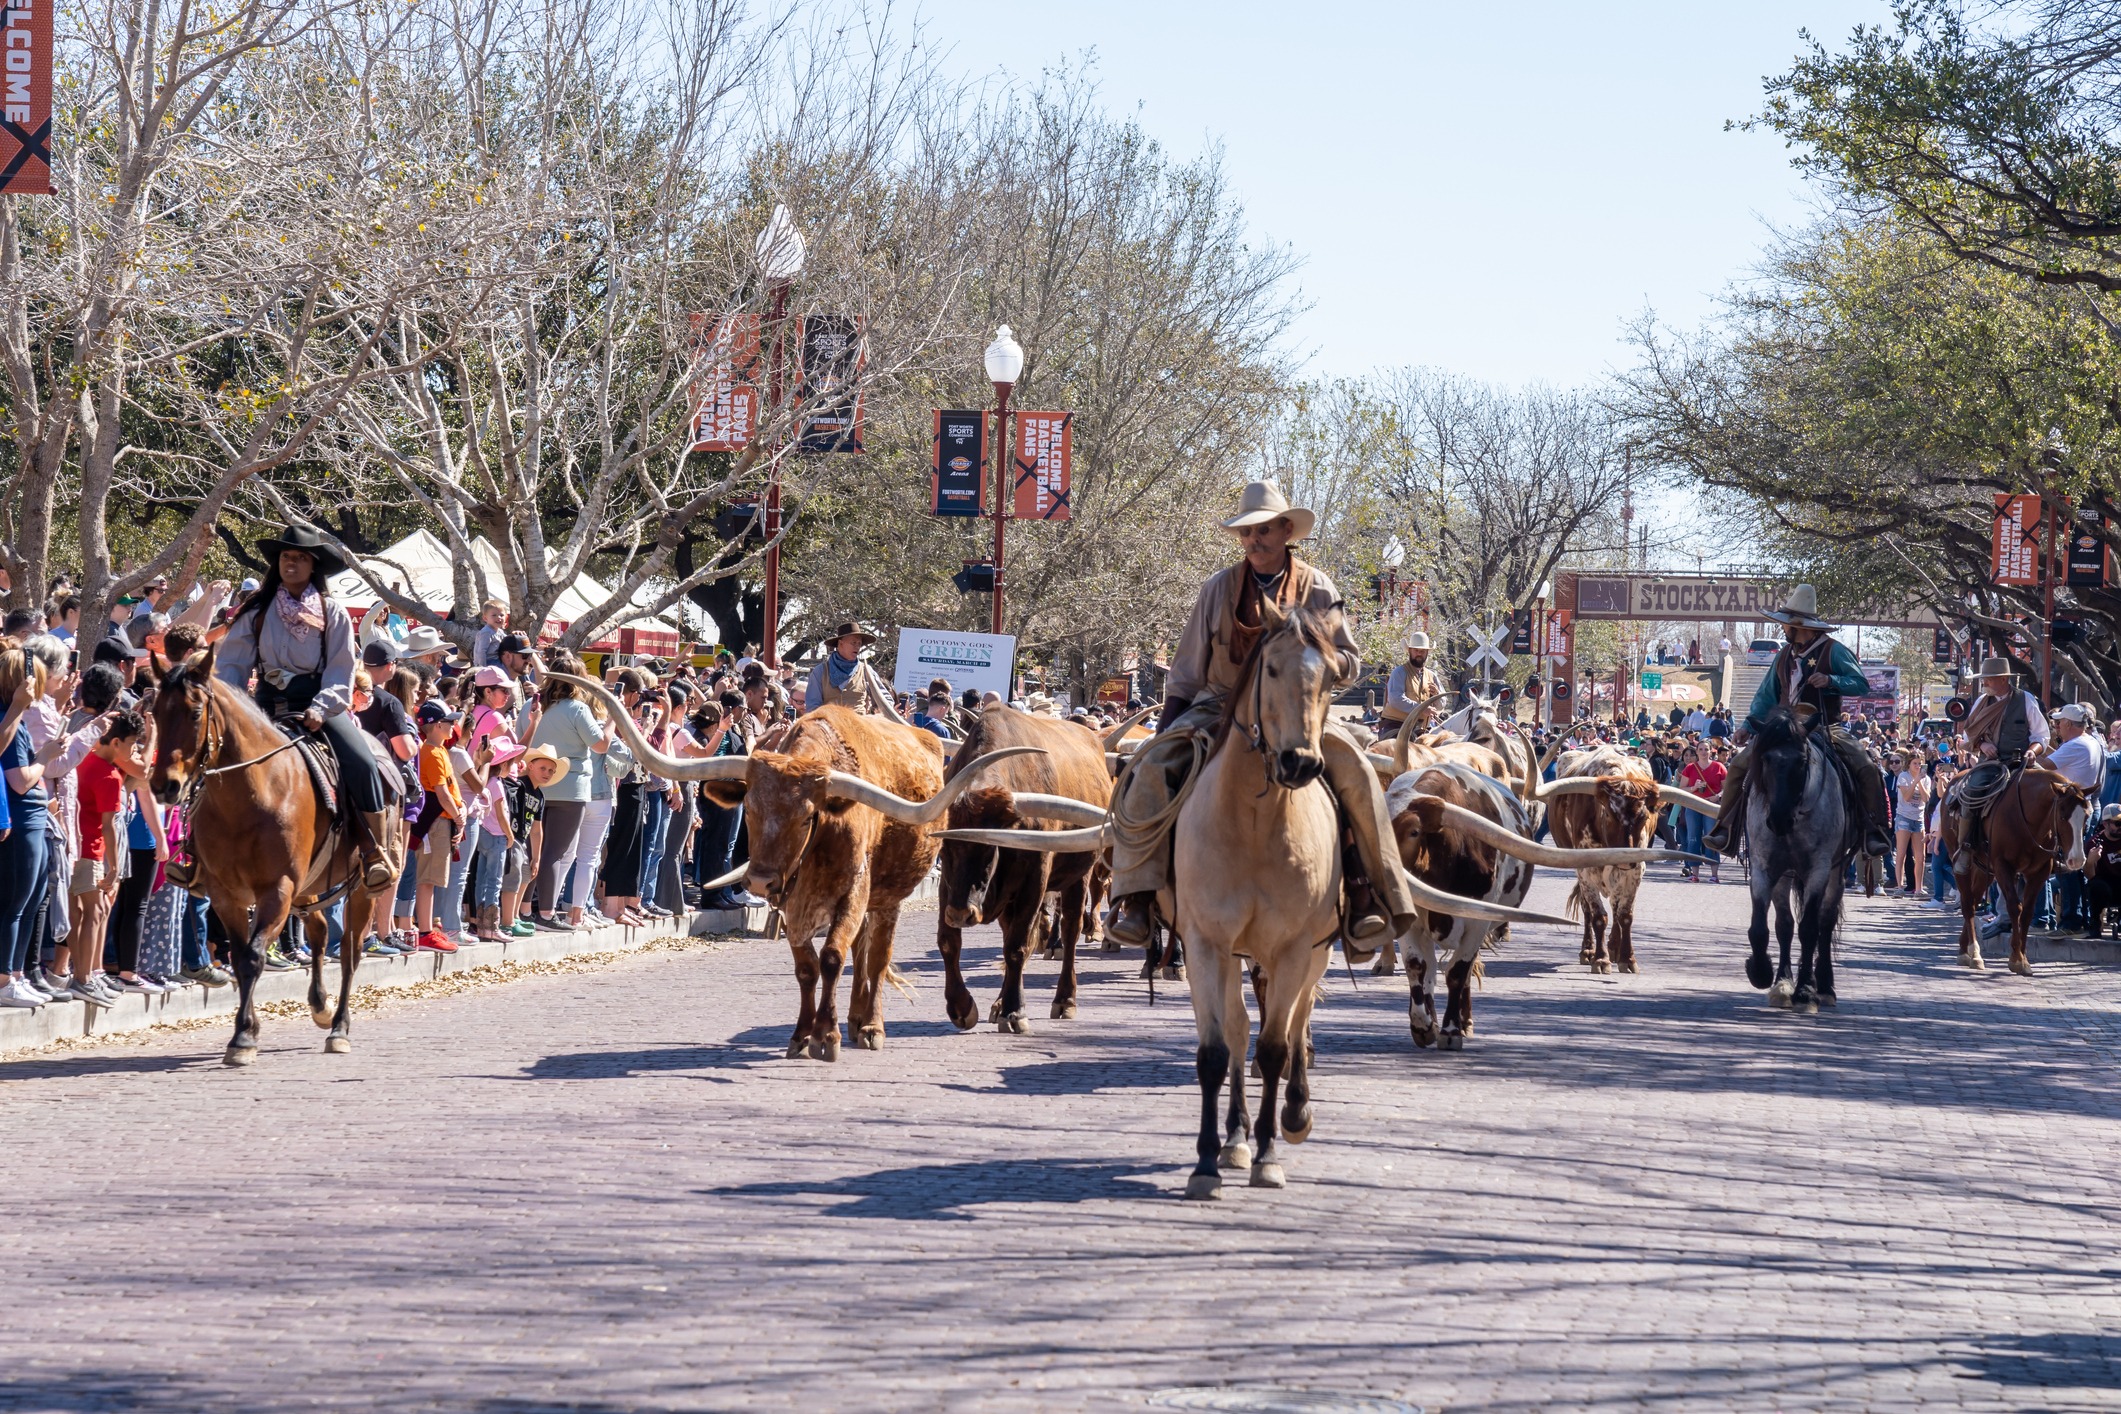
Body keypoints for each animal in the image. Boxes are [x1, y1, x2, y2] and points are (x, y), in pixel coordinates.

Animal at [150, 648, 405, 1068]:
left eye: (194, 712)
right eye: (154, 712)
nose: (164, 785)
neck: (250, 796)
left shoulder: (277, 889)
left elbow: (254, 956)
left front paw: (243, 1037)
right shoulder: (227, 896)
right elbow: (240, 959)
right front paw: (246, 1030)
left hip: (358, 891)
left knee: (350, 952)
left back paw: (338, 1027)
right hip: (308, 889)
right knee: (320, 931)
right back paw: (320, 1006)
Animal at [1942, 767, 2087, 979]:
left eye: (2086, 816)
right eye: (2062, 816)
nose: (2076, 860)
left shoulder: (2039, 872)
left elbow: (2026, 912)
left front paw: (2023, 959)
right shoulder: (2004, 866)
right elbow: (2014, 907)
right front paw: (2016, 959)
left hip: (1984, 869)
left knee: (1975, 900)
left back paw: (1964, 949)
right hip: (1961, 862)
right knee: (1968, 903)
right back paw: (1974, 953)